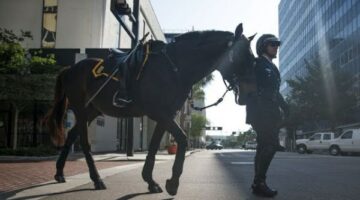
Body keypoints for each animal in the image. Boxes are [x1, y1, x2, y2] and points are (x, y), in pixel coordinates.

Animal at [45, 23, 256, 195]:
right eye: (242, 55)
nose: (248, 94)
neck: (174, 67)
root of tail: (70, 69)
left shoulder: (166, 115)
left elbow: (154, 145)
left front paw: (151, 181)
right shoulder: (158, 113)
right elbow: (182, 139)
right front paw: (172, 183)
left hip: (92, 111)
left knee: (71, 136)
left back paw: (60, 173)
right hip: (81, 110)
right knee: (84, 143)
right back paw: (96, 179)